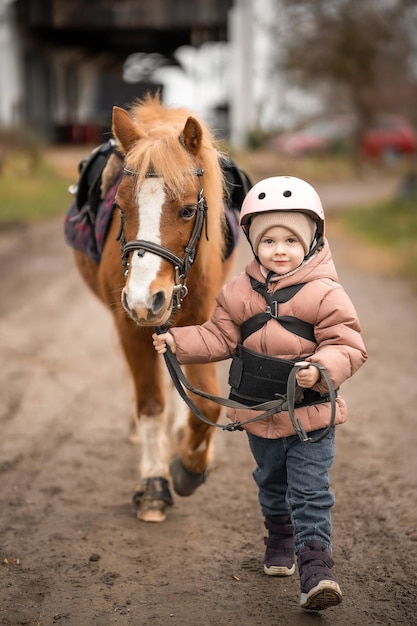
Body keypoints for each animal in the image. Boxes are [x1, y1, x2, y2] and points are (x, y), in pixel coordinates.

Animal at [71, 94, 237, 520]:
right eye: (121, 208)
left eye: (187, 210)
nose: (145, 299)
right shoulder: (130, 326)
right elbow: (150, 404)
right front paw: (154, 485)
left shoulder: (204, 322)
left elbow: (207, 406)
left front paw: (191, 467)